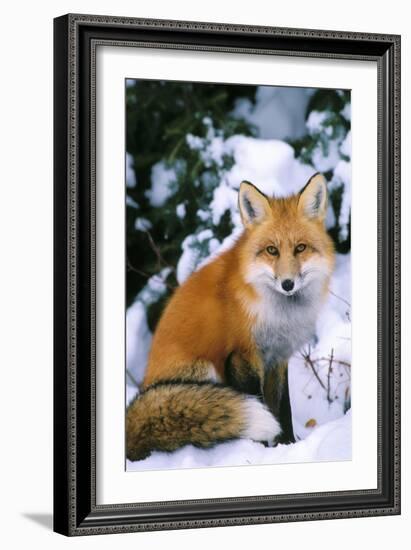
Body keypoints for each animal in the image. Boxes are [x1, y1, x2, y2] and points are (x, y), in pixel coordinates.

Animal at [127, 172, 336, 462]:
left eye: (301, 248)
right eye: (272, 250)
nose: (287, 284)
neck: (278, 314)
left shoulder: (277, 359)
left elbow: (283, 410)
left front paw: (287, 446)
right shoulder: (242, 356)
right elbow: (260, 402)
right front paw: (260, 452)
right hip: (204, 371)